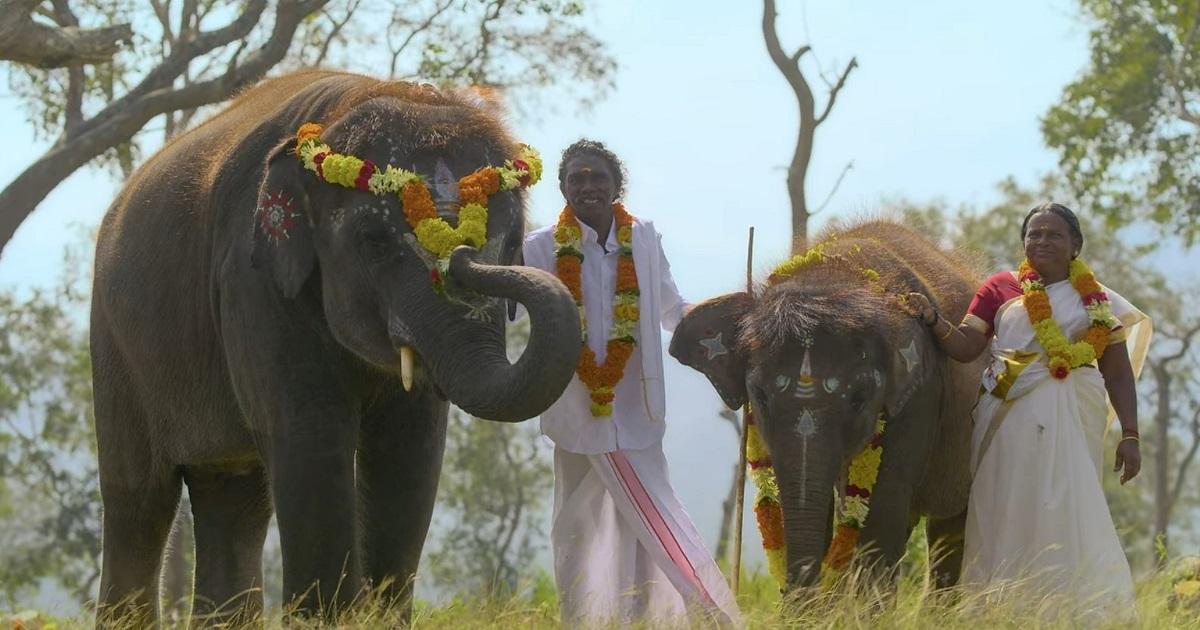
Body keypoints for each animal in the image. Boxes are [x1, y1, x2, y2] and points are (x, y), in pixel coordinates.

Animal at [89, 70, 581, 622]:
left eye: (512, 237)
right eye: (374, 240)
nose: (461, 255)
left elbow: (411, 445)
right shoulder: (252, 281)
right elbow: (310, 431)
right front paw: (330, 620)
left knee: (233, 496)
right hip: (114, 345)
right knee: (138, 498)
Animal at [669, 220, 984, 592]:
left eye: (859, 399)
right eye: (760, 395)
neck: (834, 275)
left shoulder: (921, 393)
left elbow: (883, 506)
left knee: (947, 531)